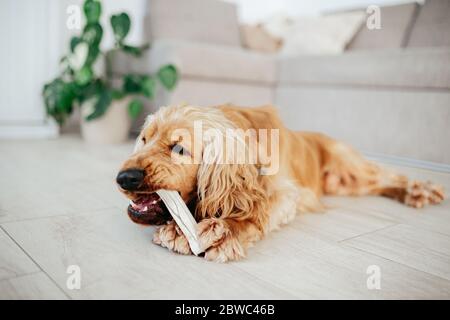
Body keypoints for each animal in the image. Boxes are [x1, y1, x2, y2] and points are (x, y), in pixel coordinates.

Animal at [116, 105, 446, 262]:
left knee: (390, 175)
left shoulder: (287, 193)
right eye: (143, 139)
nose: (124, 178)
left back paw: (419, 189)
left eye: (179, 148)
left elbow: (257, 210)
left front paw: (223, 230)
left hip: (350, 165)